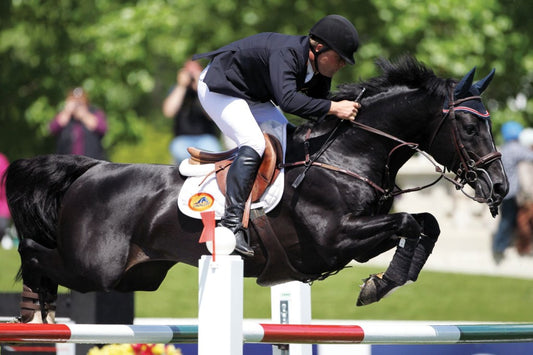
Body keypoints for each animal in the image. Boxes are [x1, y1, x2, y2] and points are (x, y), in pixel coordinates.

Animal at [4, 56, 504, 326]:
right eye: (467, 126)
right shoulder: (336, 239)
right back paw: (32, 306)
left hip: (136, 276)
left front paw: (387, 280)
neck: (347, 157)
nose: (498, 186)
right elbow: (408, 222)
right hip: (95, 269)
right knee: (34, 251)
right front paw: (379, 285)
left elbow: (426, 223)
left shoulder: (357, 239)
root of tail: (91, 170)